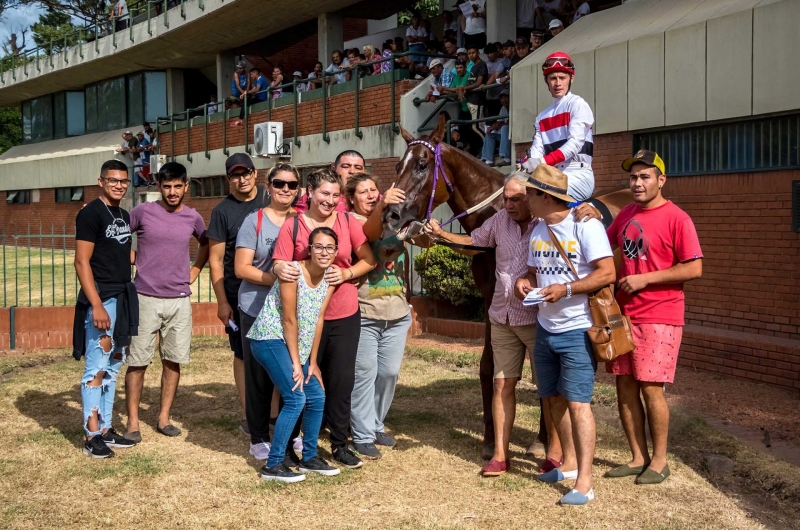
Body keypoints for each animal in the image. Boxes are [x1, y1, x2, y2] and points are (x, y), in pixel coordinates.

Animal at [384, 115, 636, 450]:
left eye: (422, 165)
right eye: (398, 166)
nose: (391, 214)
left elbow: (543, 370)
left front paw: (544, 439)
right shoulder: (493, 299)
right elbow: (489, 366)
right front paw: (492, 436)